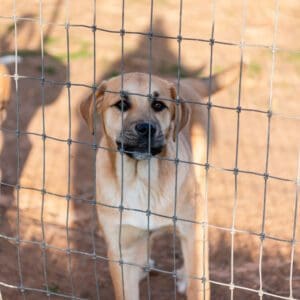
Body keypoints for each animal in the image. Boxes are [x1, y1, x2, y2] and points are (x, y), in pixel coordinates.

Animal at [80, 66, 239, 300]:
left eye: (158, 105)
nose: (146, 128)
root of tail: (185, 82)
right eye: (121, 104)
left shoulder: (191, 233)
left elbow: (198, 284)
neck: (140, 181)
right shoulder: (120, 248)